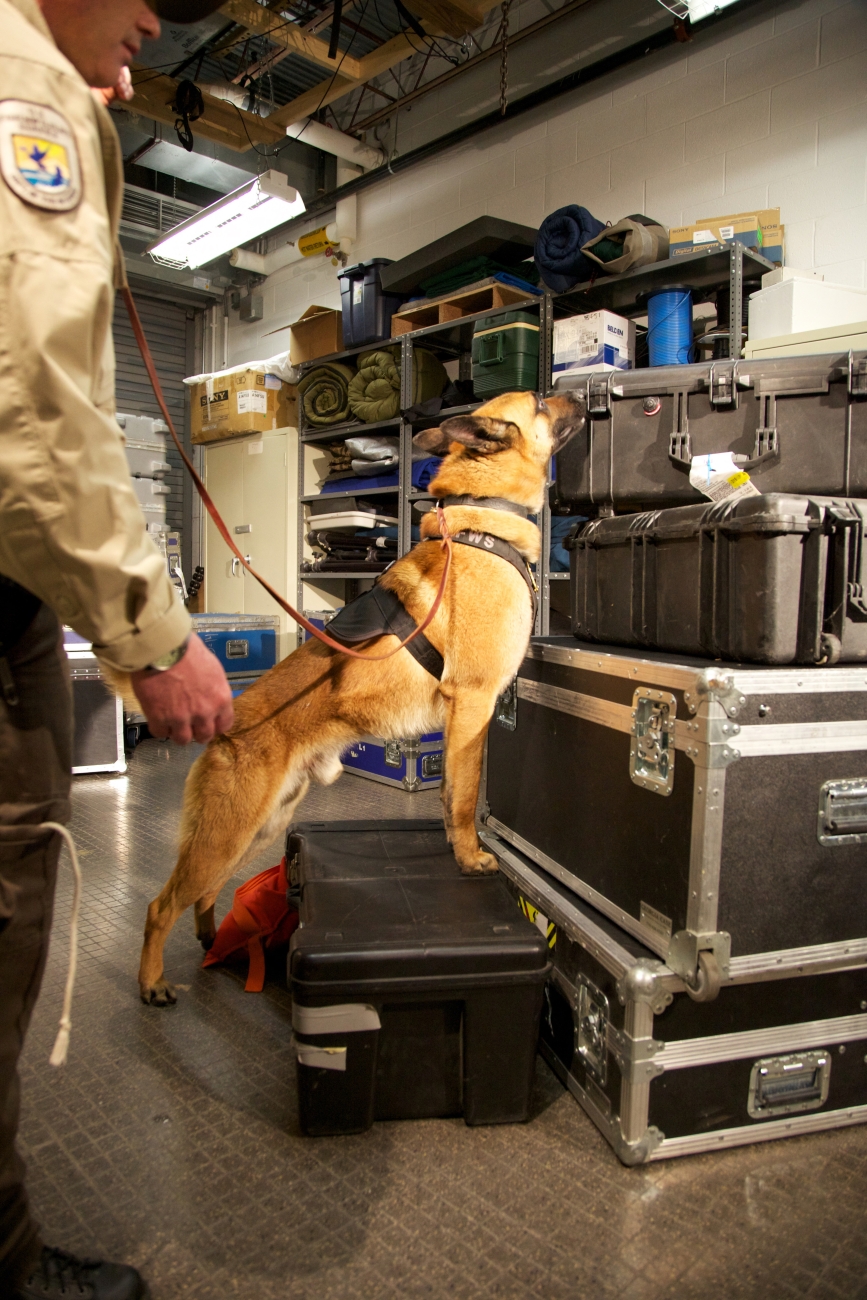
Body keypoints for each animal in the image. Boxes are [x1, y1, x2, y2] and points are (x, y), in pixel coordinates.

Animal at [134, 390, 584, 1004]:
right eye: (540, 400)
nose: (583, 393)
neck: (481, 521)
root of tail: (228, 724)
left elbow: (450, 798)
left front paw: (453, 847)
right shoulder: (474, 707)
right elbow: (466, 799)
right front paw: (470, 858)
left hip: (256, 828)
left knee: (202, 893)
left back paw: (212, 941)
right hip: (229, 833)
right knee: (160, 906)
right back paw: (152, 983)